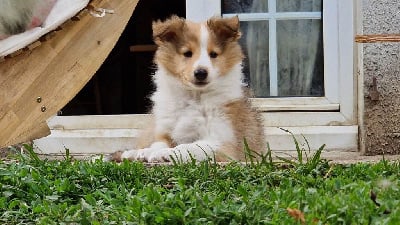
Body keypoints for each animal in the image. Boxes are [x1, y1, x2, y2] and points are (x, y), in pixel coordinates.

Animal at [111, 15, 264, 163]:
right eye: (187, 53)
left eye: (213, 54)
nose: (201, 73)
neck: (194, 97)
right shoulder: (165, 133)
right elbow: (158, 144)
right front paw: (148, 152)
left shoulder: (223, 142)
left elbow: (190, 146)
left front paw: (167, 153)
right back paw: (131, 153)